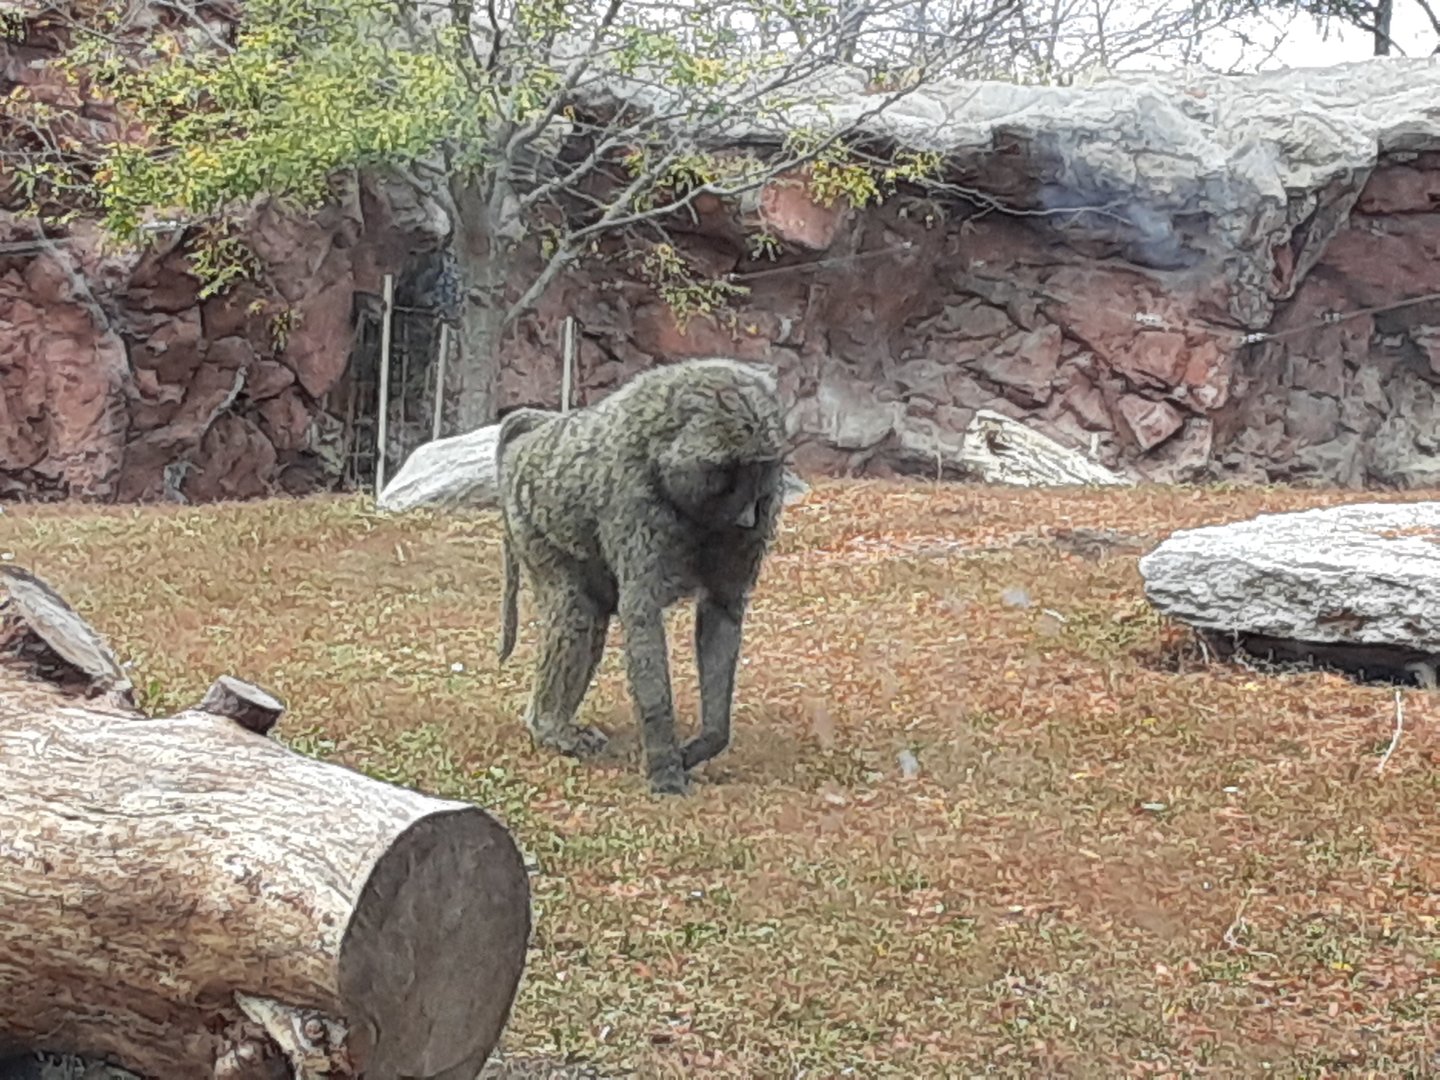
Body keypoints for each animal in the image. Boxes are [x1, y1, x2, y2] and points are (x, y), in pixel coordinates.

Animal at [494, 358, 790, 796]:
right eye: (732, 471)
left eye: (761, 469)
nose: (746, 518)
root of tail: (537, 434)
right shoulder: (634, 500)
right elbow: (641, 614)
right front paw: (665, 768)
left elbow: (722, 610)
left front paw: (702, 745)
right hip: (530, 518)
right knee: (575, 612)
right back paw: (549, 727)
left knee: (592, 615)